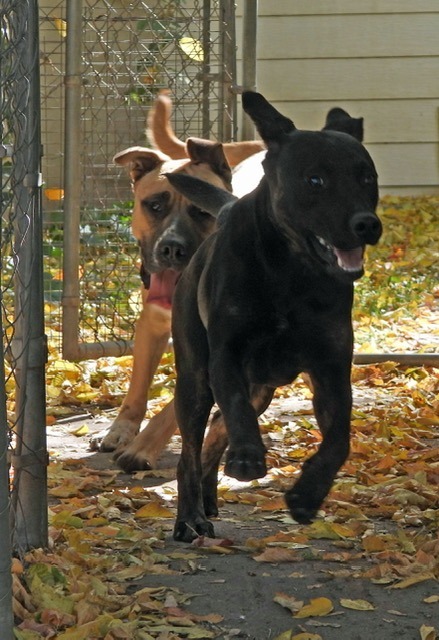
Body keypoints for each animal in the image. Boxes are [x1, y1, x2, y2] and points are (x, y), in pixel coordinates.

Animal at [167, 91, 384, 540]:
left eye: (366, 178)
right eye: (315, 180)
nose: (367, 224)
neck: (291, 274)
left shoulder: (331, 367)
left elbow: (339, 440)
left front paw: (307, 494)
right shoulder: (227, 355)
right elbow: (235, 409)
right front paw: (248, 457)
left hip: (261, 389)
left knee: (216, 433)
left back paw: (209, 498)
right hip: (195, 378)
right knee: (192, 449)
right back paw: (189, 517)